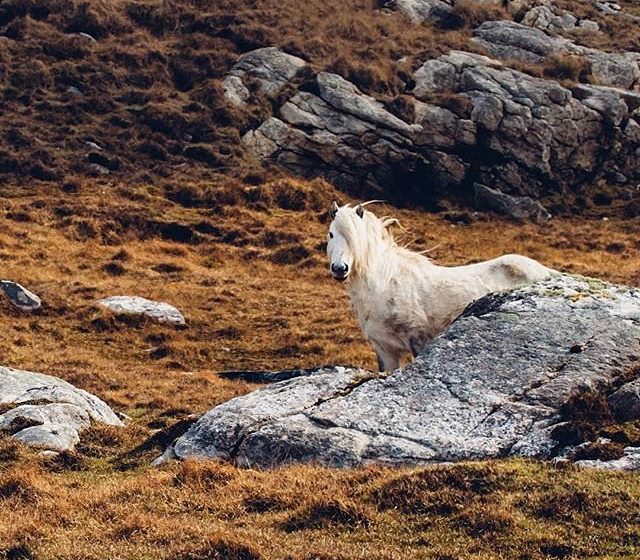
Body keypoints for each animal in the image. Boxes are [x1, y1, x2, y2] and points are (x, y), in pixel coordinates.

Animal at [324, 202, 556, 372]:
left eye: (355, 238)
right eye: (331, 234)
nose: (340, 269)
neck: (384, 285)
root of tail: (545, 271)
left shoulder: (418, 339)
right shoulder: (384, 350)